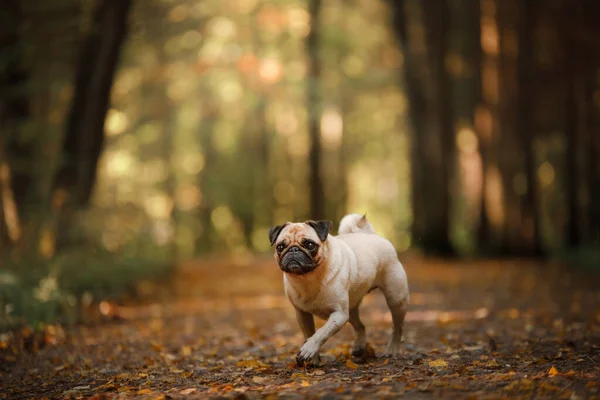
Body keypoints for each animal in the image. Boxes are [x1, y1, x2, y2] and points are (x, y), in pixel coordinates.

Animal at [270, 216, 410, 366]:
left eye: (310, 245)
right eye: (280, 247)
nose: (293, 250)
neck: (308, 279)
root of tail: (372, 235)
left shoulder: (339, 315)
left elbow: (320, 333)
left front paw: (309, 349)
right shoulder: (302, 314)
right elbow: (309, 334)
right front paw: (313, 359)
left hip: (396, 299)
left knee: (398, 328)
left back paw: (391, 350)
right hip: (351, 309)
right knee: (361, 326)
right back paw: (359, 347)